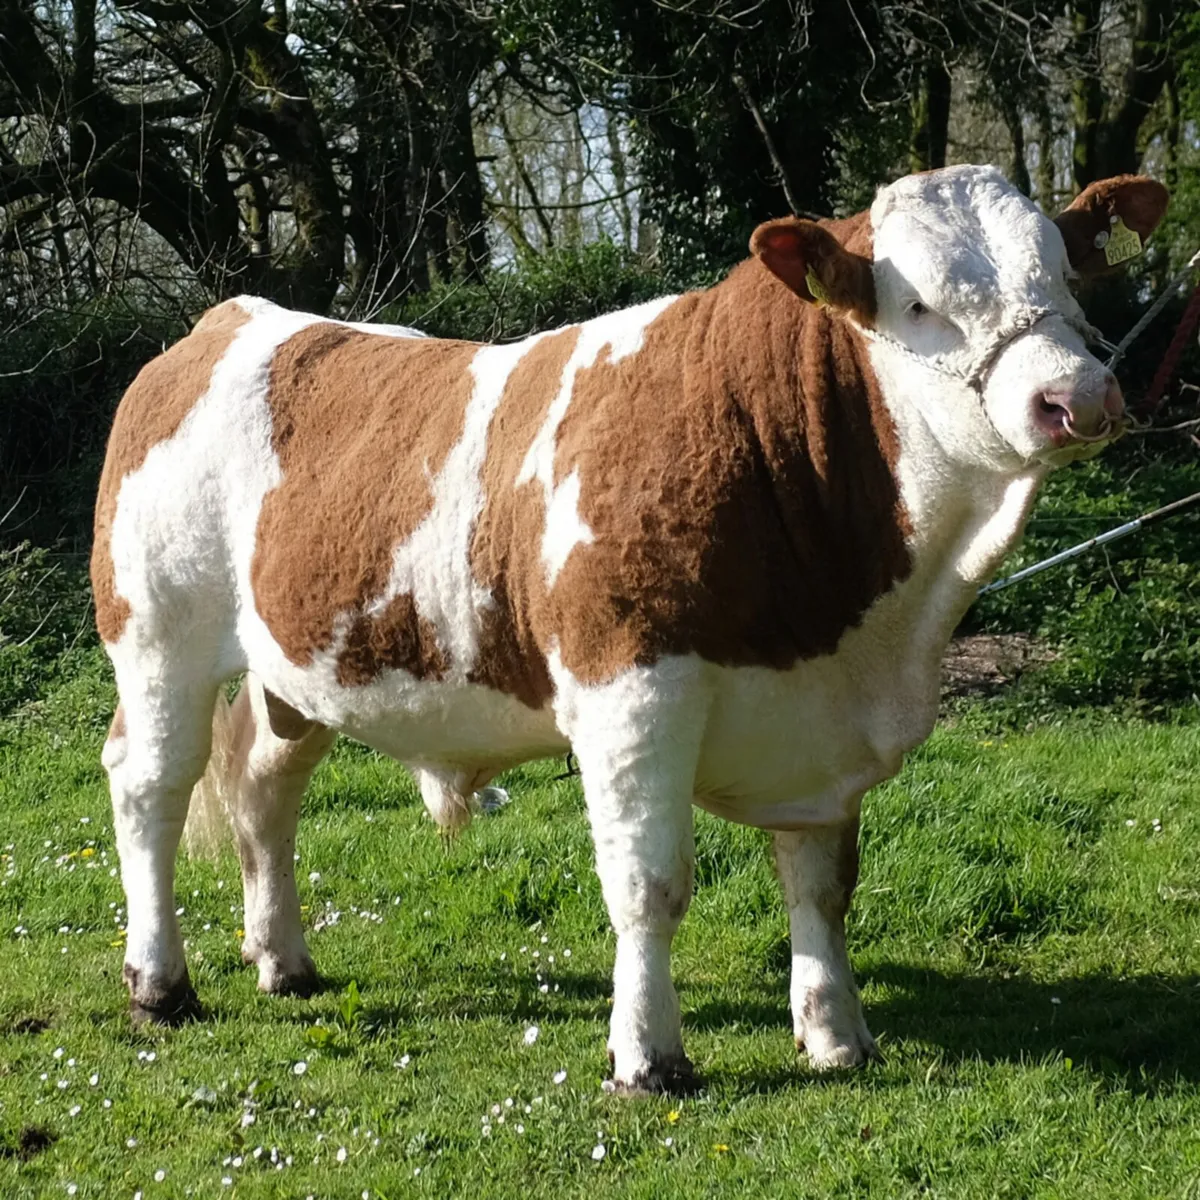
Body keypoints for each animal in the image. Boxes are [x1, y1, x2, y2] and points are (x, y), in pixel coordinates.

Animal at [91, 165, 1167, 1094]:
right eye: (920, 306)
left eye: (1064, 274)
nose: (1078, 397)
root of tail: (230, 319)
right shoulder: (633, 693)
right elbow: (649, 886)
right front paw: (649, 1059)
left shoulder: (818, 725)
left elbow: (821, 884)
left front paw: (837, 1036)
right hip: (157, 637)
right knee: (150, 786)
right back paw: (160, 984)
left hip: (296, 667)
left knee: (265, 789)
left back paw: (284, 960)